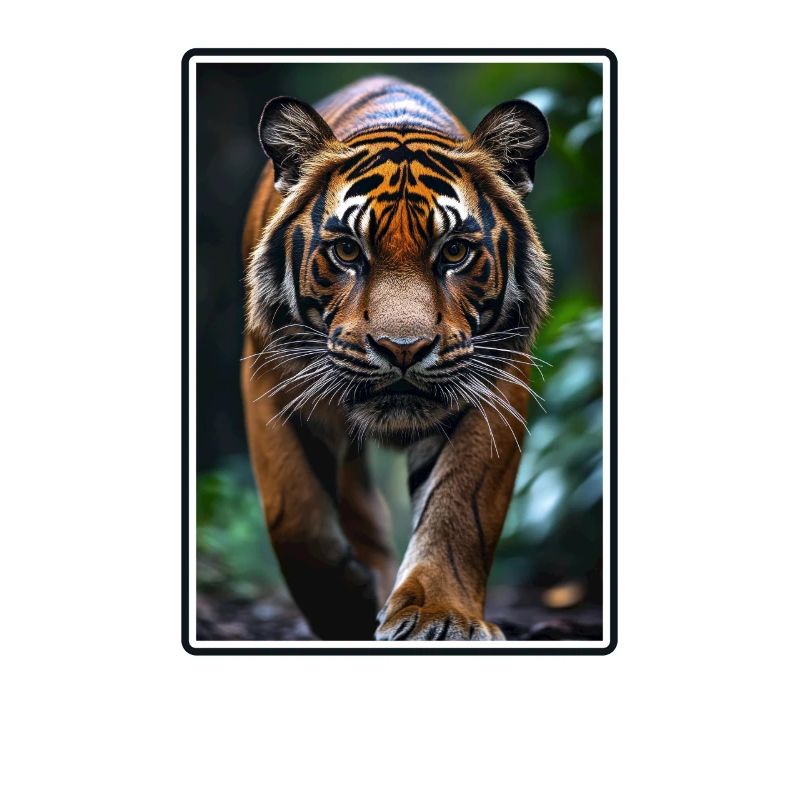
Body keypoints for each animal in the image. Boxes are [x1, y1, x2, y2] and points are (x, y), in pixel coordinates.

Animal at [241, 76, 550, 641]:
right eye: (346, 251)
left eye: (454, 252)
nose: (402, 348)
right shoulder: (269, 372)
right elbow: (295, 514)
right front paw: (345, 608)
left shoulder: (497, 379)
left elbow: (459, 504)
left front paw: (441, 617)